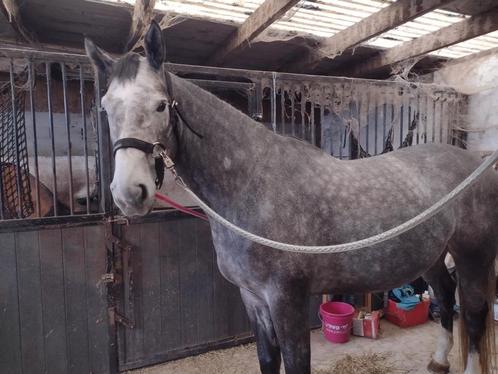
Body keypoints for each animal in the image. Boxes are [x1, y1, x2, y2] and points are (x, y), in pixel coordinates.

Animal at [85, 21, 498, 372]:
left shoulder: (288, 301)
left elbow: (296, 363)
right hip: (432, 256)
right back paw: (439, 360)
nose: (129, 193)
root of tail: (475, 162)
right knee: (445, 297)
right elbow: (268, 360)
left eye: (159, 104)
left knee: (474, 316)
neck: (253, 186)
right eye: (105, 107)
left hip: (472, 256)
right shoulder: (253, 298)